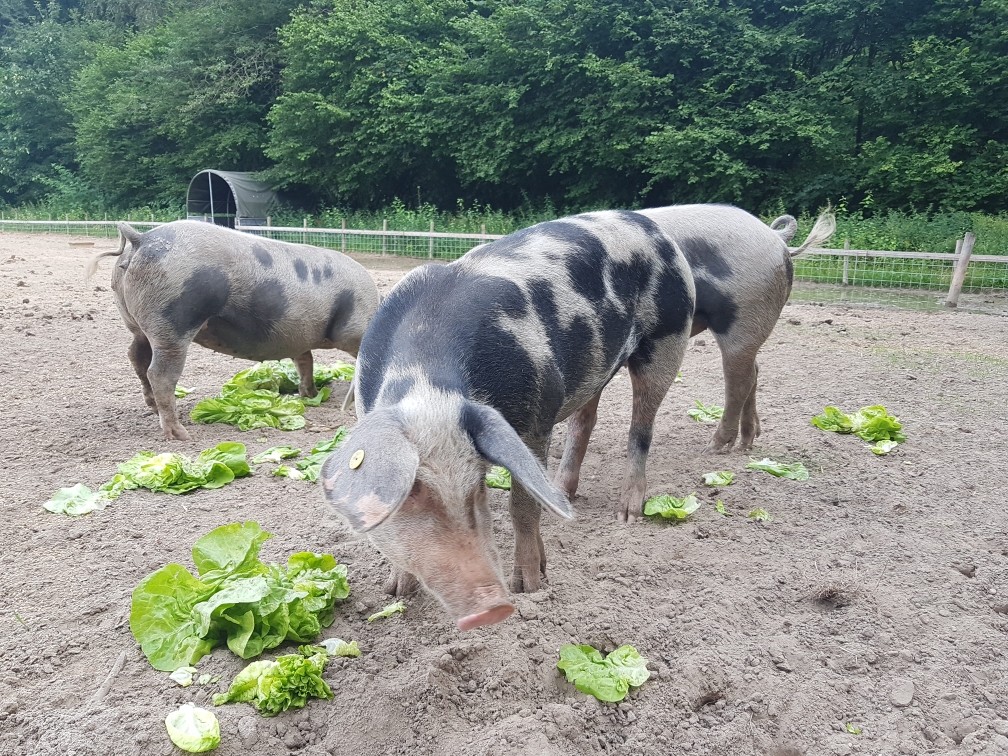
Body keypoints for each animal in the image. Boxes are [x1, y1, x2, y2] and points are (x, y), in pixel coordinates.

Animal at [84, 221, 379, 441]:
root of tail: (141, 238)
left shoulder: (301, 338)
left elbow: (305, 361)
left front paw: (310, 395)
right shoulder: (352, 332)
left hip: (137, 323)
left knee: (136, 357)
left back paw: (153, 408)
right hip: (173, 320)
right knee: (159, 373)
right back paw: (181, 435)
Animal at [556, 205, 830, 497]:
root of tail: (775, 237)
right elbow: (582, 418)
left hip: (744, 318)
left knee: (740, 381)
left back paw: (713, 449)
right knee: (754, 372)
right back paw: (747, 442)